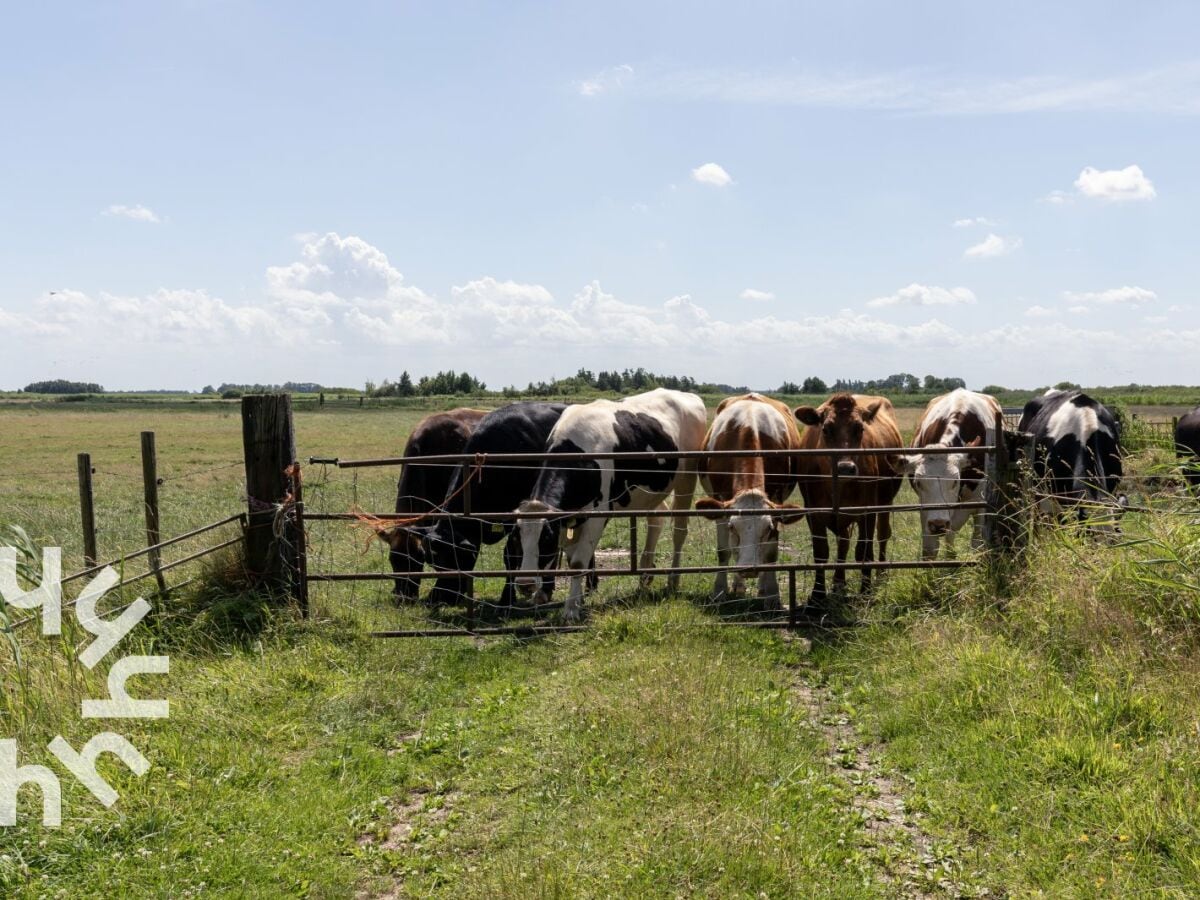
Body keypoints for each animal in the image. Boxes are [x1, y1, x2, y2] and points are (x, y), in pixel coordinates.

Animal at [513, 391, 700, 624]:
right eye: (516, 538)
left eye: (546, 539)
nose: (525, 584)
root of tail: (685, 394)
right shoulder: (569, 517)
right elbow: (571, 558)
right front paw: (577, 600)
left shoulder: (597, 515)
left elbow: (578, 562)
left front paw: (571, 611)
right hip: (652, 492)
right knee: (657, 520)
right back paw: (645, 576)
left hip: (687, 478)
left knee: (679, 530)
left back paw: (673, 579)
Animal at [696, 393, 806, 607]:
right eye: (732, 527)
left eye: (768, 528)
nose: (748, 568)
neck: (749, 426)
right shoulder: (721, 504)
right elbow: (724, 550)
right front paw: (719, 591)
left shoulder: (776, 501)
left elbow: (770, 553)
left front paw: (772, 595)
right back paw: (738, 584)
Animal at [796, 393, 902, 607]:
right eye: (825, 429)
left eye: (860, 428)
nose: (845, 468)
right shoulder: (813, 512)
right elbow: (821, 551)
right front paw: (818, 594)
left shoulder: (867, 511)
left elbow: (863, 550)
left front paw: (866, 590)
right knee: (843, 542)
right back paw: (838, 582)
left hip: (885, 501)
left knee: (883, 534)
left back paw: (881, 574)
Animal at [892, 388, 1003, 561]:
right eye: (918, 482)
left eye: (955, 481)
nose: (938, 524)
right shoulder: (925, 507)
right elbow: (930, 548)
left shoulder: (981, 503)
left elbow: (977, 543)